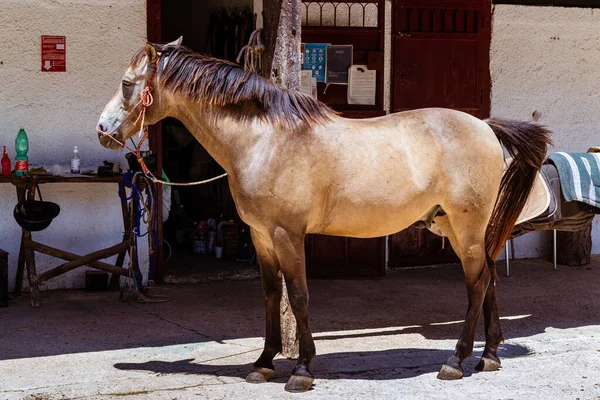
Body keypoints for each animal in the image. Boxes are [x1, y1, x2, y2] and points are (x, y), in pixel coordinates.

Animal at [96, 39, 552, 392]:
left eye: (126, 83)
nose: (103, 131)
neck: (265, 141)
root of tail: (485, 127)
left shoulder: (287, 234)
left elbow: (297, 297)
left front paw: (301, 370)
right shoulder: (260, 236)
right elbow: (270, 295)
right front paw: (263, 363)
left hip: (465, 226)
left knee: (476, 284)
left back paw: (456, 362)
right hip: (456, 229)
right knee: (488, 278)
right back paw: (489, 357)